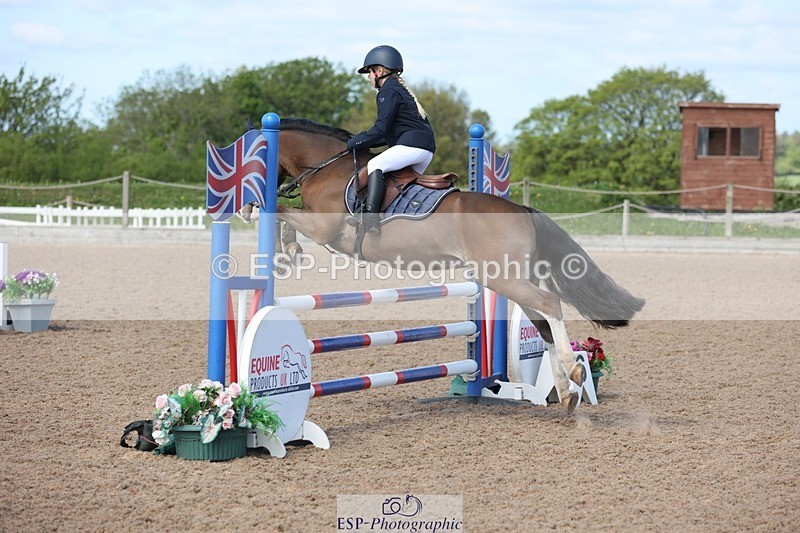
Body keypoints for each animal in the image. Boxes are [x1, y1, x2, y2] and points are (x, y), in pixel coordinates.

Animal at [255, 118, 645, 413]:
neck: (326, 166)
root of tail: (522, 210)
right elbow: (285, 215)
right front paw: (289, 250)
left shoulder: (323, 228)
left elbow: (279, 209)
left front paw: (277, 239)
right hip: (512, 279)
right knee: (544, 323)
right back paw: (565, 395)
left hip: (502, 278)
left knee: (550, 304)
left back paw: (575, 375)